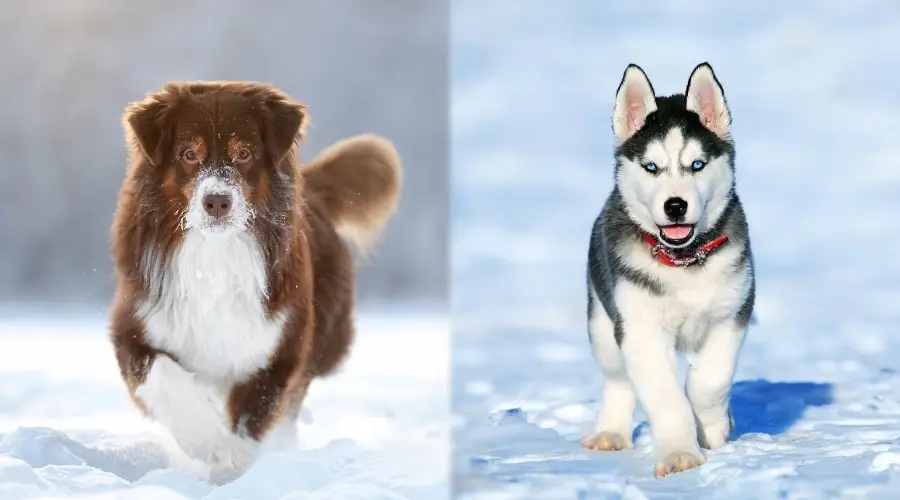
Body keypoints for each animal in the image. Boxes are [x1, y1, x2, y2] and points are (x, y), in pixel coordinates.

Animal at [106, 81, 400, 480]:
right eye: (189, 154)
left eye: (244, 153)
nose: (217, 202)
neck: (214, 254)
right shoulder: (134, 326)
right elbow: (164, 376)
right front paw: (209, 441)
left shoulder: (276, 348)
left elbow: (251, 424)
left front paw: (235, 472)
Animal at [580, 61, 756, 476]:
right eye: (651, 167)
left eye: (697, 165)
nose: (675, 205)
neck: (683, 261)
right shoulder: (640, 329)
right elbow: (665, 395)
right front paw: (680, 453)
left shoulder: (732, 314)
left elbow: (709, 381)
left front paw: (713, 427)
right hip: (602, 322)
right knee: (619, 380)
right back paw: (611, 432)